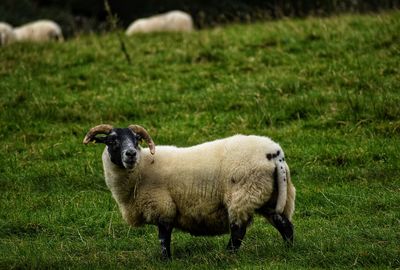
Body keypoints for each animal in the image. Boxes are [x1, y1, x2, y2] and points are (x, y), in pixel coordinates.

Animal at [83, 124, 296, 260]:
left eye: (136, 140)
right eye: (112, 140)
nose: (131, 154)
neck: (141, 169)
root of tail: (274, 154)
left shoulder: (163, 207)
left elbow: (163, 238)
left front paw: (166, 260)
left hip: (242, 195)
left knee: (238, 231)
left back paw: (226, 256)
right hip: (268, 196)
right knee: (285, 225)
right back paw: (288, 250)